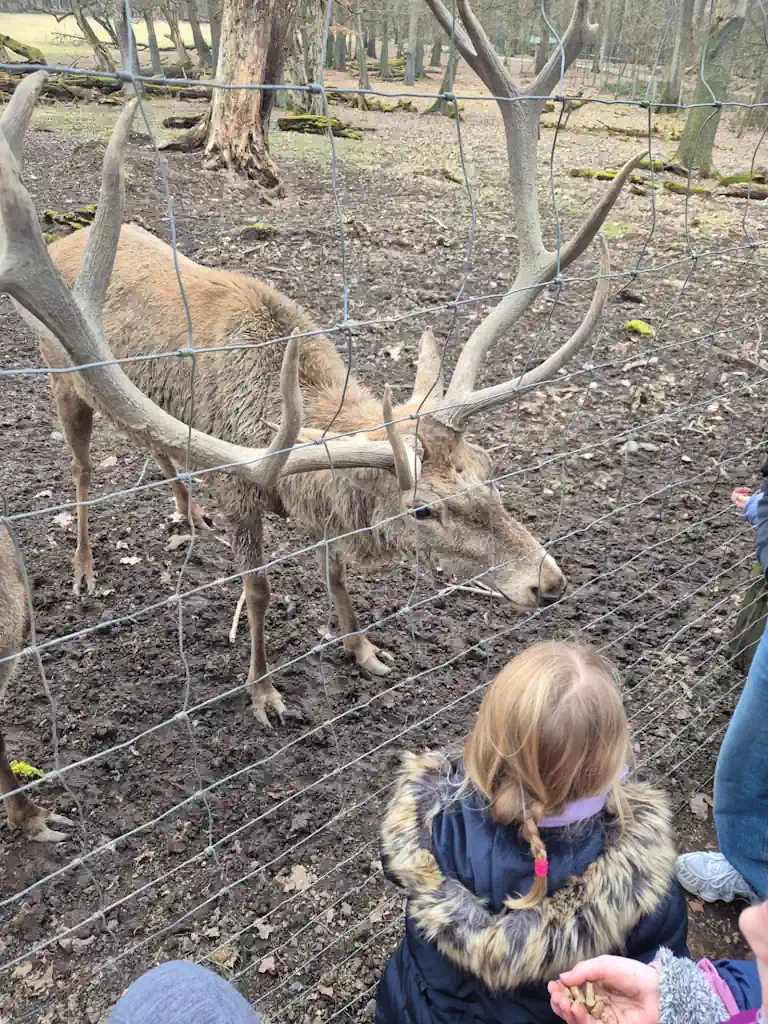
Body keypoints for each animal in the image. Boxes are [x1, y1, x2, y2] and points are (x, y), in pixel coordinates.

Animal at [0, 0, 644, 728]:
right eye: (422, 511)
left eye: (487, 468)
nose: (547, 580)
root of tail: (71, 236)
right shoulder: (242, 491)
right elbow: (257, 589)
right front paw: (264, 691)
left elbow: (335, 569)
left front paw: (362, 648)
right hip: (62, 381)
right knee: (81, 471)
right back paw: (84, 568)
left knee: (156, 445)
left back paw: (186, 513)